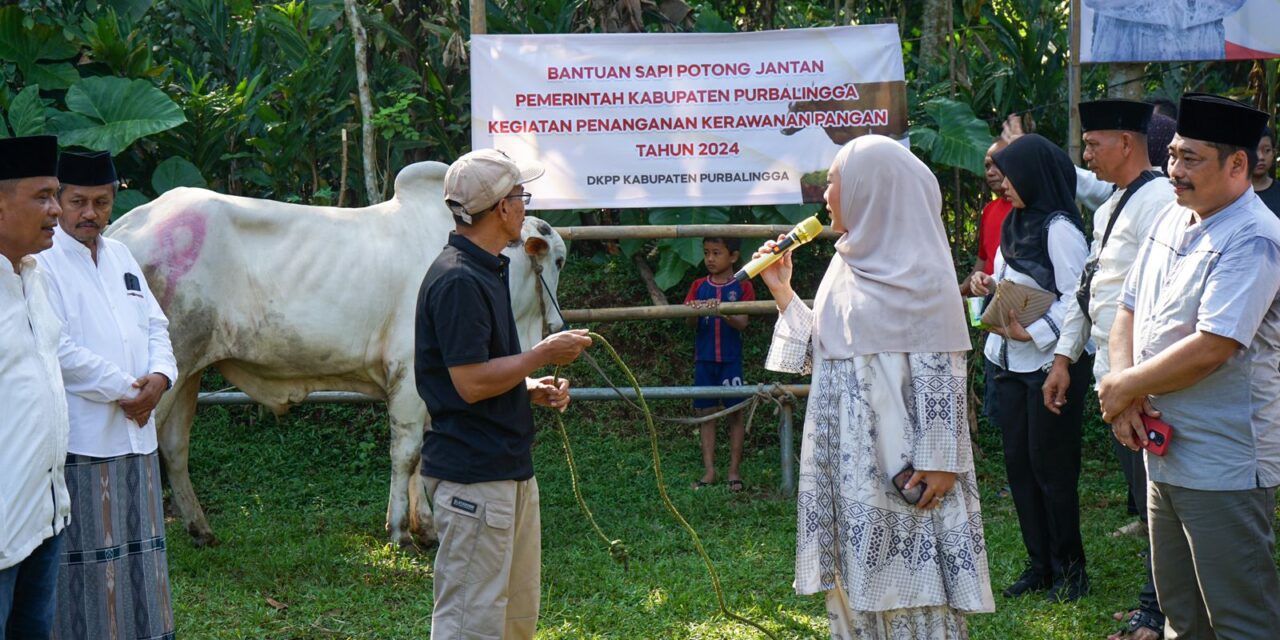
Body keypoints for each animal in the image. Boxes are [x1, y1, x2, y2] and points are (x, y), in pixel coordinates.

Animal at [107, 162, 568, 547]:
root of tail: (126, 226)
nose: (558, 325)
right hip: (165, 376)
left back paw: (201, 529)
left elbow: (425, 456)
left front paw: (428, 529)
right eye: (560, 260)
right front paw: (400, 531)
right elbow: (407, 455)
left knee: (174, 447)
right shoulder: (408, 378)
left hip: (188, 372)